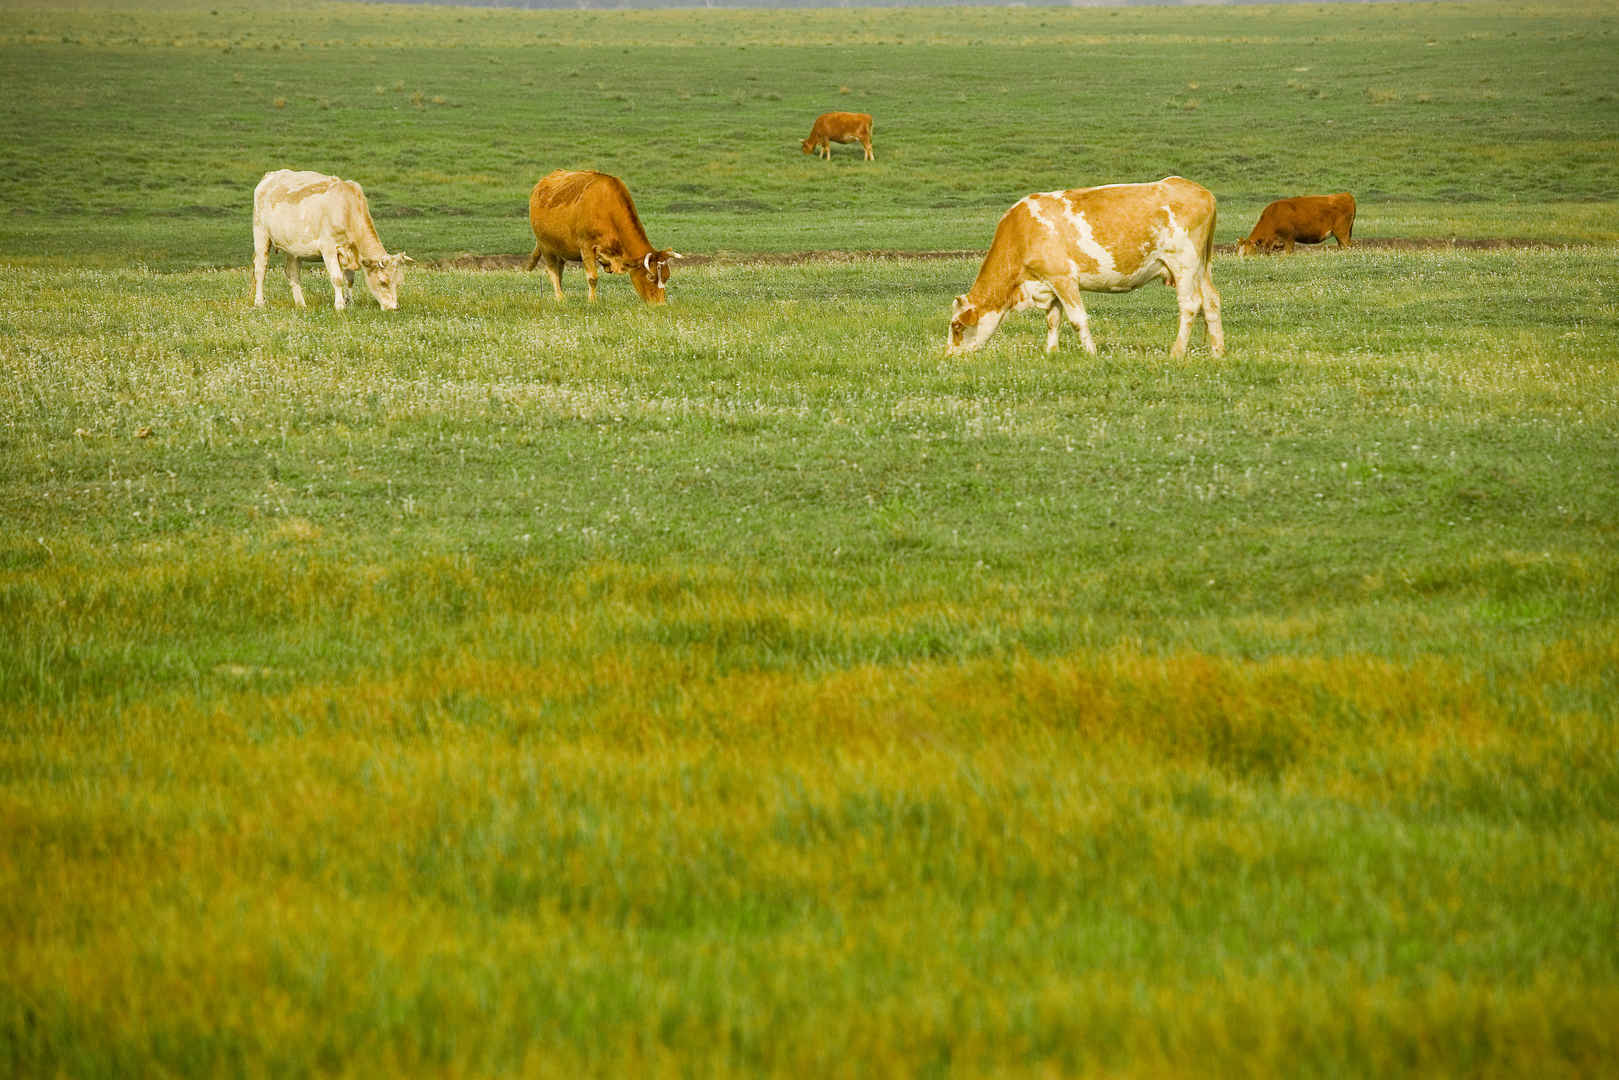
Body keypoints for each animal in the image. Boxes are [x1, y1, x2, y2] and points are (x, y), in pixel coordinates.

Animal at [250, 170, 411, 312]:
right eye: (383, 282)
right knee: (260, 269)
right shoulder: (328, 248)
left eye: (399, 282)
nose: (393, 308)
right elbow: (337, 278)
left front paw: (349, 302)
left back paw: (301, 304)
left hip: (293, 247)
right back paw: (259, 302)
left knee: (292, 273)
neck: (347, 208)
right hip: (261, 234)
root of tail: (270, 176)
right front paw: (340, 306)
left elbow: (349, 279)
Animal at [527, 169, 679, 304]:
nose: (660, 304)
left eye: (667, 276)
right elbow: (592, 278)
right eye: (650, 276)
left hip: (559, 248)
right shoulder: (586, 247)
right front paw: (592, 302)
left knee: (560, 271)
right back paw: (560, 298)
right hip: (545, 246)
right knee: (553, 271)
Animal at [945, 176, 1217, 359]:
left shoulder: (1063, 278)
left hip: (1184, 265)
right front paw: (1051, 352)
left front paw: (1091, 353)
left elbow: (1077, 319)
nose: (948, 356)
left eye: (956, 326)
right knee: (1212, 301)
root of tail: (1200, 191)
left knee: (1190, 305)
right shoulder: (1048, 282)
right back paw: (1217, 351)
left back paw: (1177, 353)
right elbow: (1053, 319)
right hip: (1202, 267)